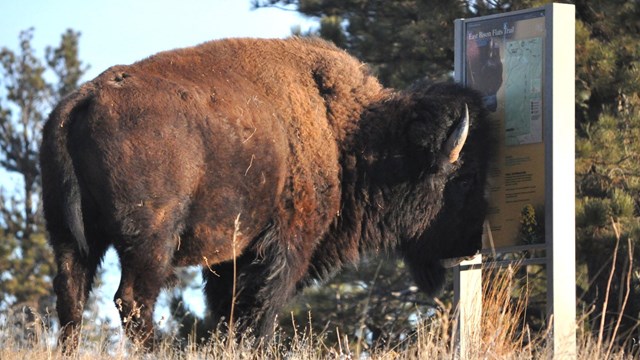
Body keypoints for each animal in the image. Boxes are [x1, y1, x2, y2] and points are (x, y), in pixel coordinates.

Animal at [40, 36, 490, 352]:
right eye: (465, 180)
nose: (471, 245)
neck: (346, 131)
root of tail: (84, 98)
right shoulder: (285, 245)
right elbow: (261, 310)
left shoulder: (230, 258)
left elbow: (229, 310)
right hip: (151, 240)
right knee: (132, 300)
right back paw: (159, 350)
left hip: (68, 236)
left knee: (71, 295)